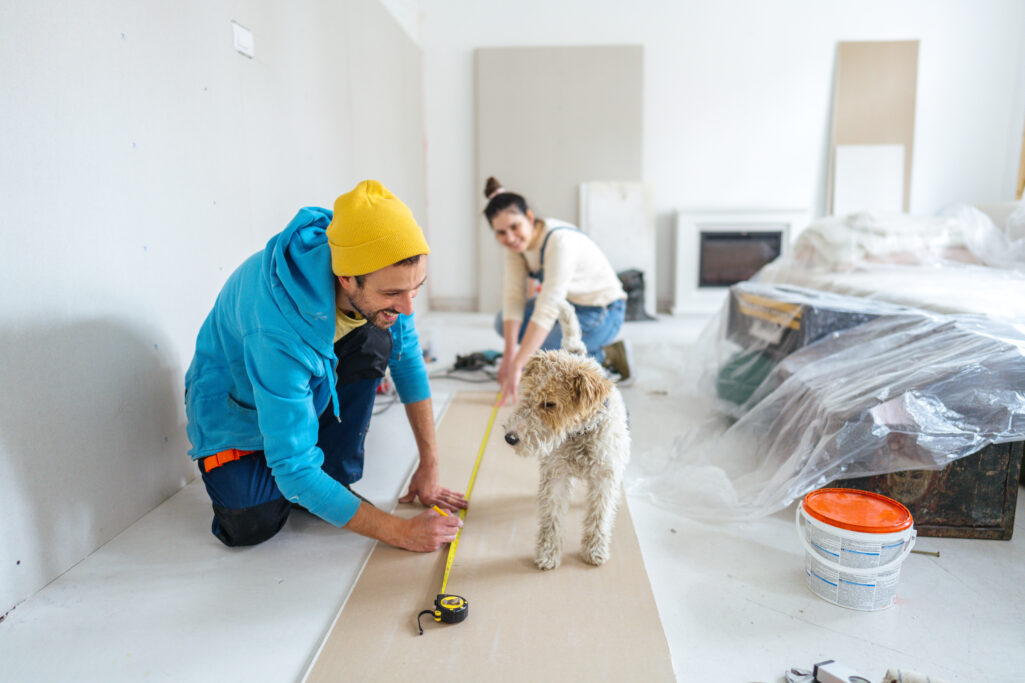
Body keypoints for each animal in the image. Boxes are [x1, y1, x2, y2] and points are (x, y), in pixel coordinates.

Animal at [500, 301, 627, 566]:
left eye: (550, 404)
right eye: (528, 394)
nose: (510, 437)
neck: (580, 433)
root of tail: (577, 352)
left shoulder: (605, 477)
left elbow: (599, 515)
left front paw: (595, 551)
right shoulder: (556, 474)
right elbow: (552, 518)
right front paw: (548, 553)